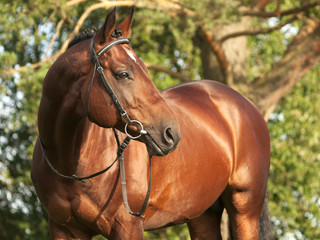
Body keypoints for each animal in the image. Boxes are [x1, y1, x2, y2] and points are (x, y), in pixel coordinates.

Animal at [31, 7, 270, 240]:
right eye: (123, 74)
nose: (171, 134)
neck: (73, 165)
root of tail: (246, 105)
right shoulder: (65, 230)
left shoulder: (128, 226)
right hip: (202, 215)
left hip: (244, 210)